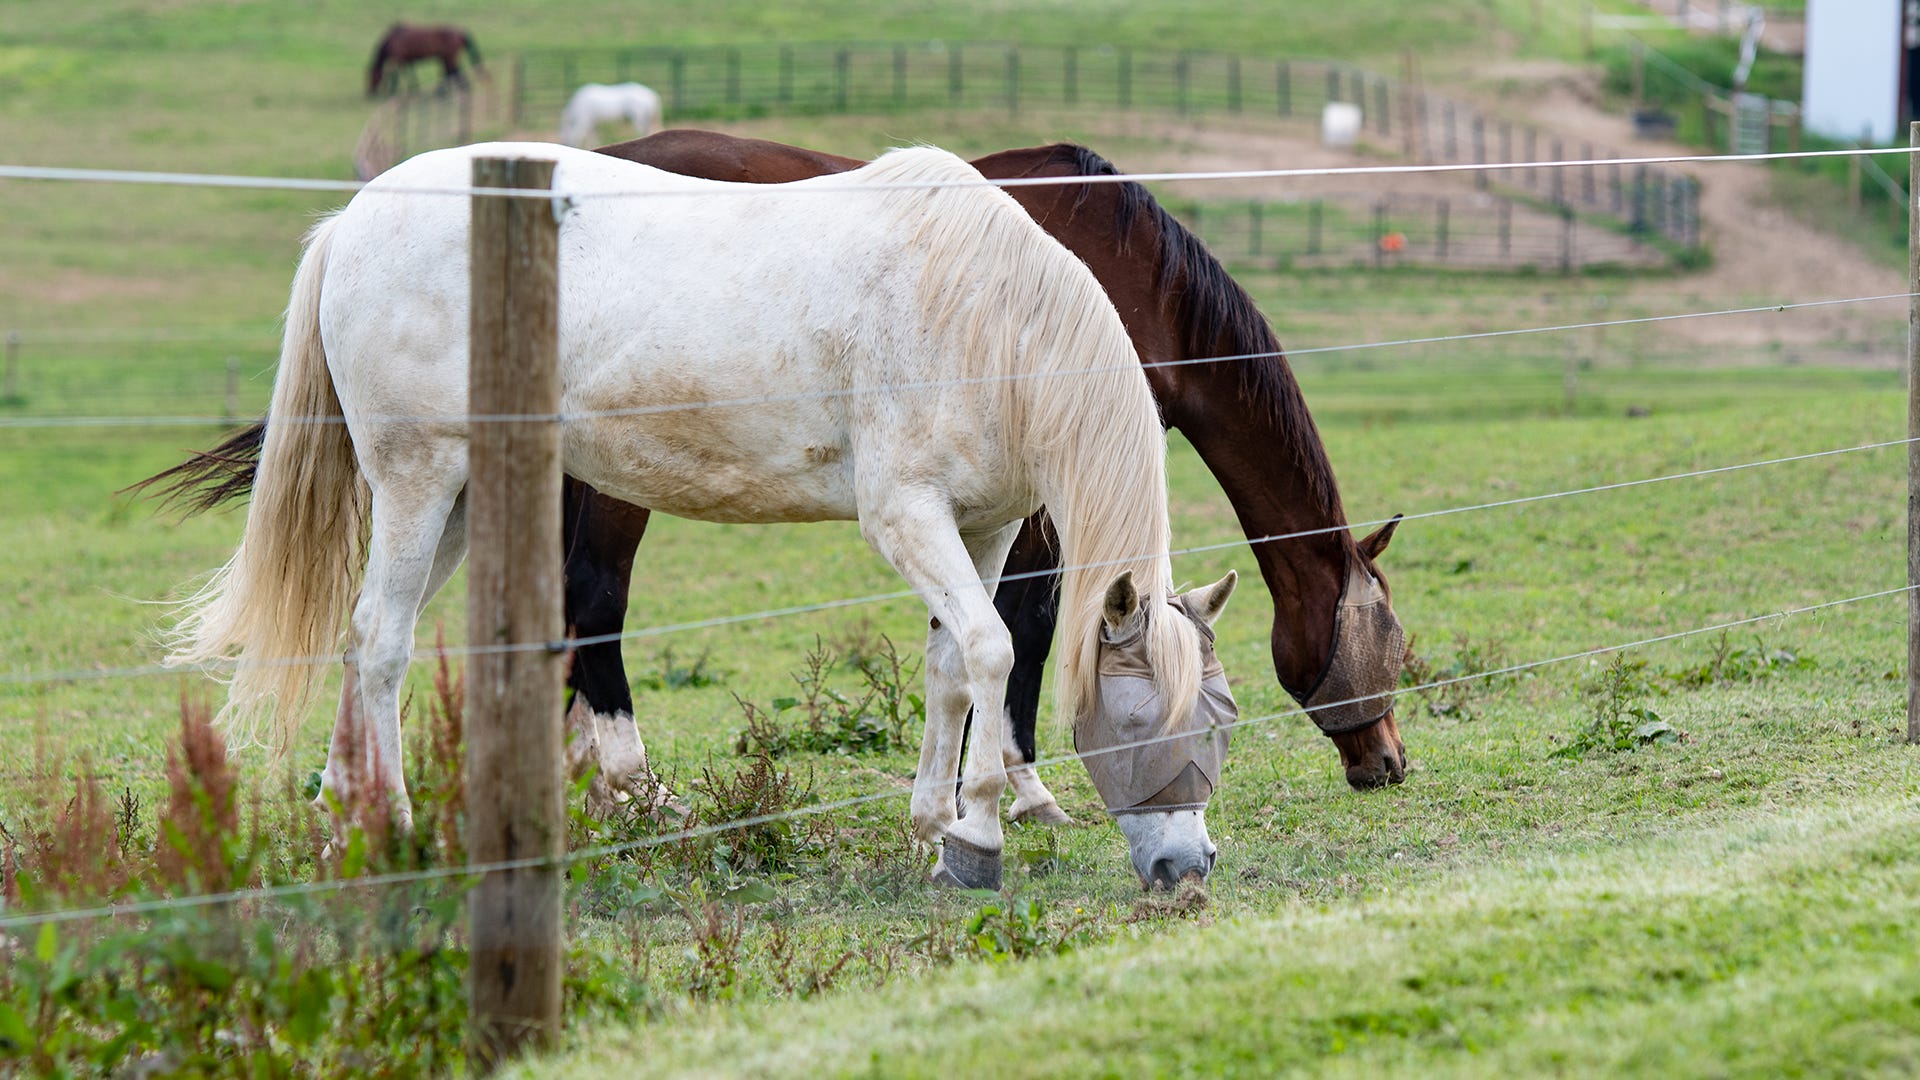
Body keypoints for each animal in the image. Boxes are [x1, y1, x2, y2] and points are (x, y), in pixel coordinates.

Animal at [139, 132, 1413, 814]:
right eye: (1384, 644)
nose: (1388, 764)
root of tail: (352, 221)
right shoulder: (960, 519)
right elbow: (1017, 638)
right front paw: (1015, 797)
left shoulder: (987, 515)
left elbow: (959, 656)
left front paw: (945, 812)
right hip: (437, 483)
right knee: (420, 633)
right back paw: (477, 807)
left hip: (468, 495)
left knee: (386, 636)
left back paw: (357, 808)